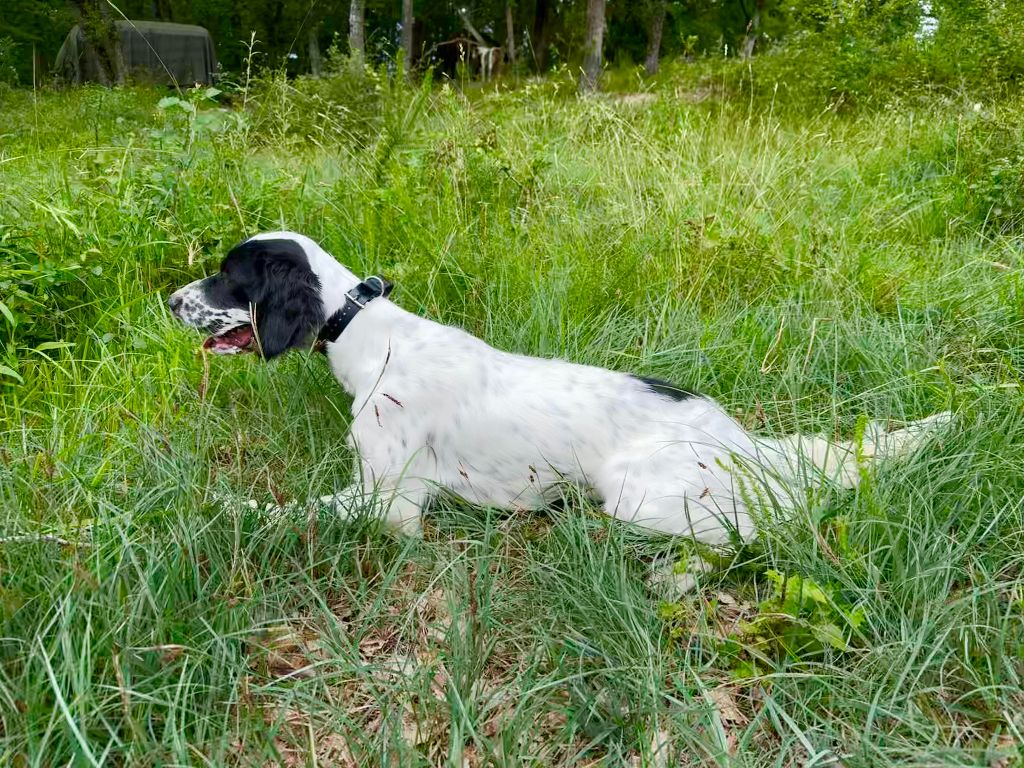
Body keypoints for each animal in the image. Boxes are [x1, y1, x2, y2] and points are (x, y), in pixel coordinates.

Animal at [169, 231, 950, 561]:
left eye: (228, 276)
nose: (170, 300)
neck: (365, 333)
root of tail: (747, 445)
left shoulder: (390, 502)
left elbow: (279, 510)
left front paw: (215, 507)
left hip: (636, 491)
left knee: (743, 536)